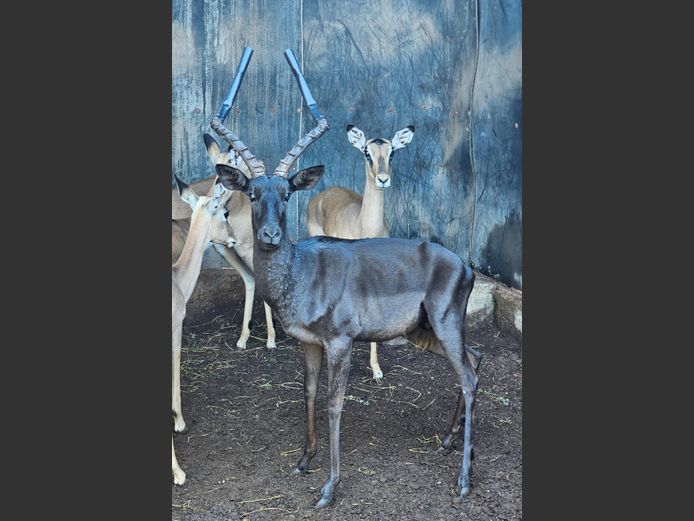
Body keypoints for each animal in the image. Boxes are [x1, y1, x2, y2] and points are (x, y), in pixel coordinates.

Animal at [306, 124, 415, 381]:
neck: (363, 225)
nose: (383, 179)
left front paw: (376, 370)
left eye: (392, 152)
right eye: (367, 152)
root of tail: (323, 193)